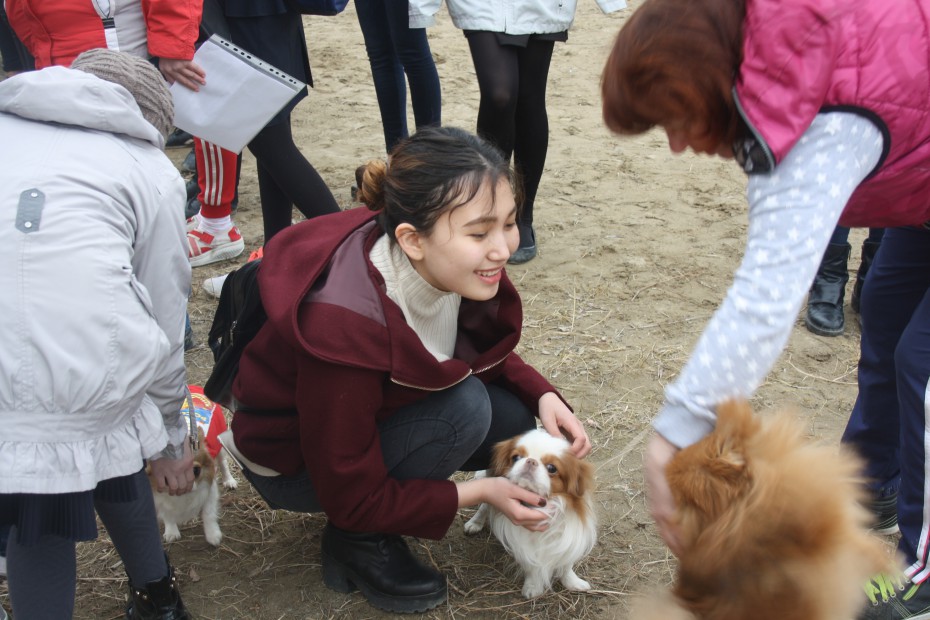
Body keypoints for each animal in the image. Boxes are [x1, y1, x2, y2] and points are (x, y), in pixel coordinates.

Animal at [462, 428, 596, 600]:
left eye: (552, 468)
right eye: (516, 457)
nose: (531, 461)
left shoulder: (569, 537)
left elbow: (566, 563)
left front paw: (573, 582)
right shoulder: (522, 542)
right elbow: (532, 565)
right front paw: (532, 587)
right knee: (485, 506)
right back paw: (475, 522)